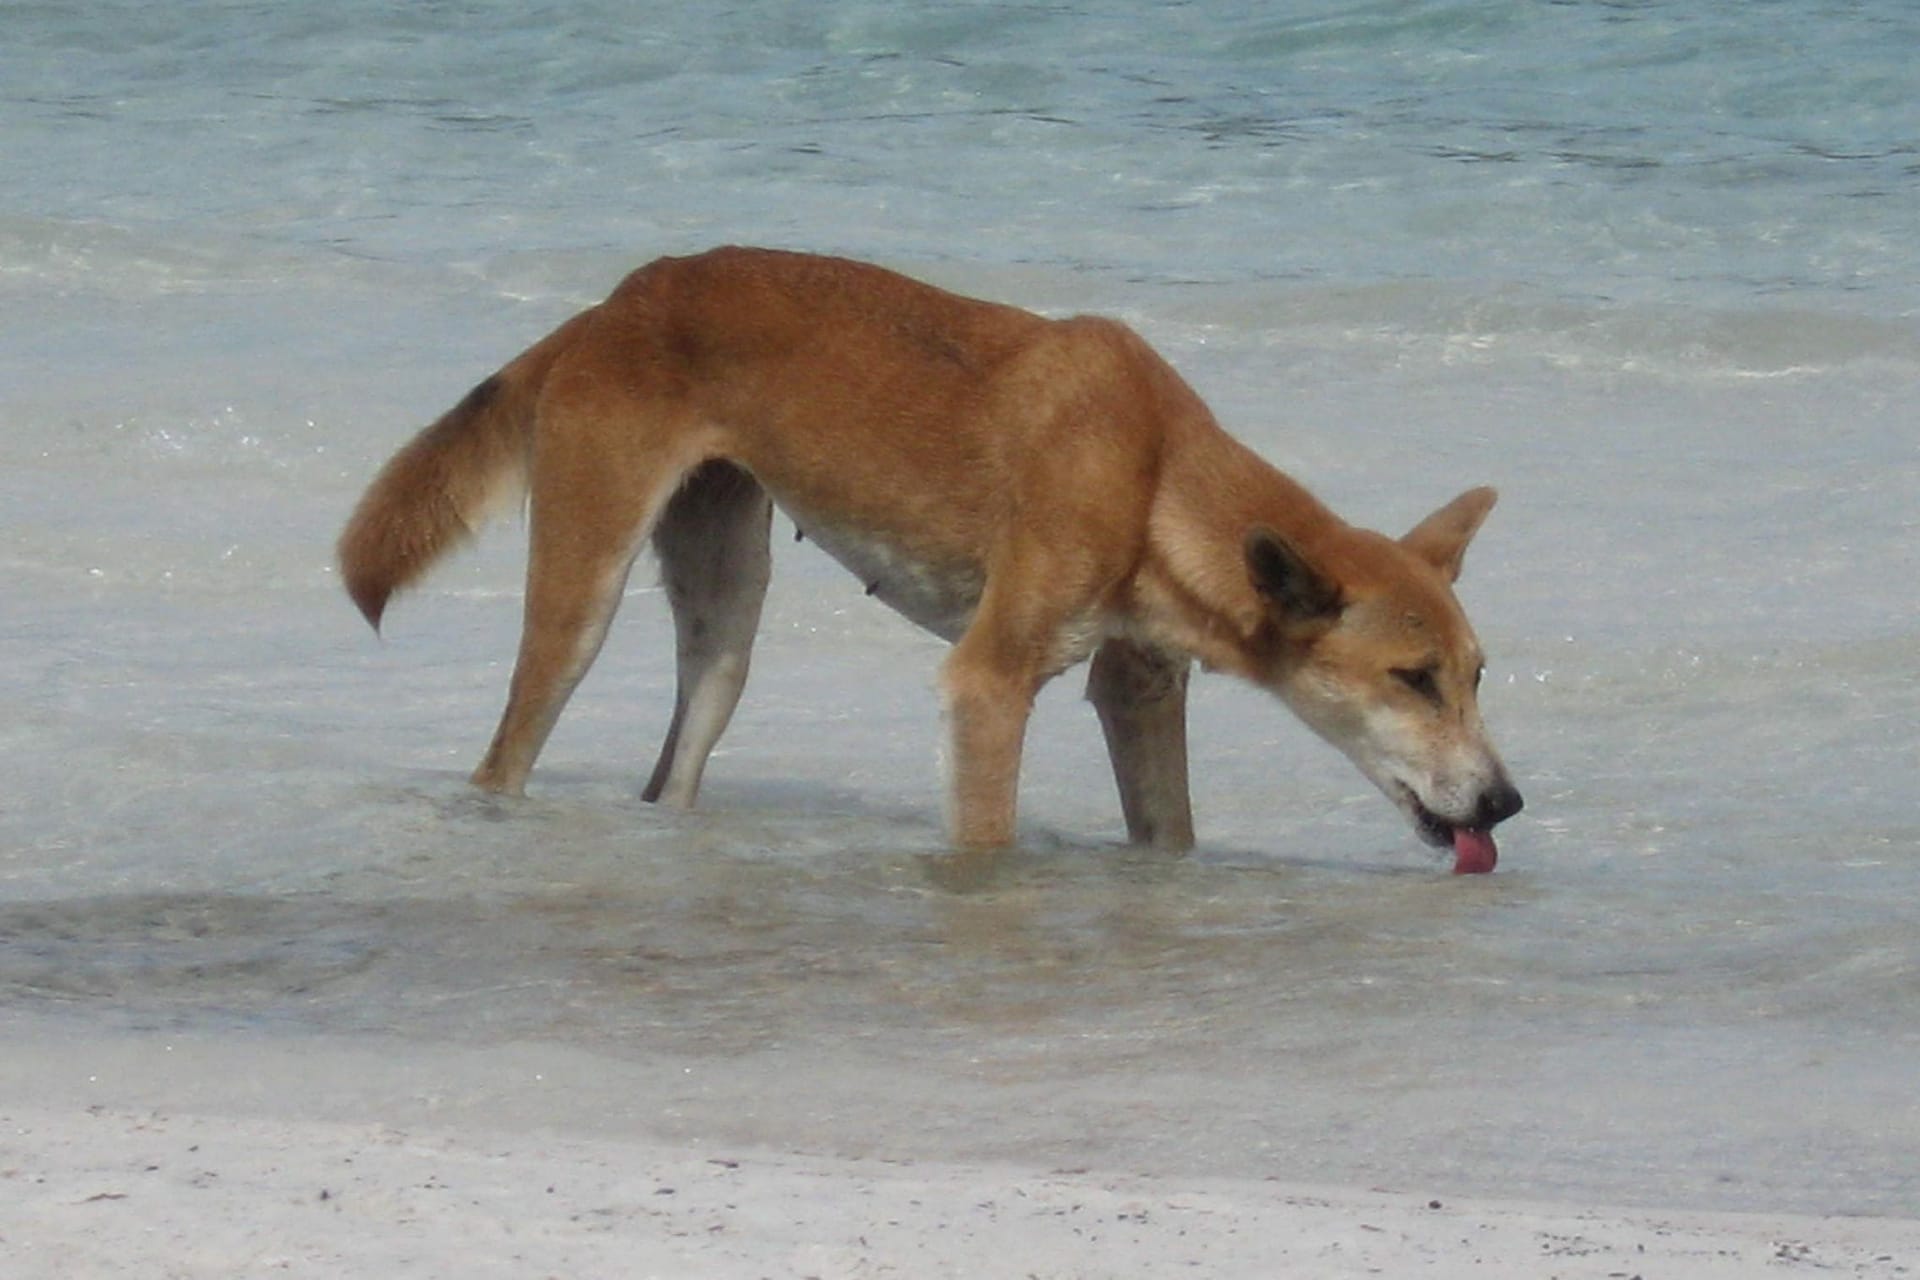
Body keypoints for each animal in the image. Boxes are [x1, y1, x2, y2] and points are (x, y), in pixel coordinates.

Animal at [337, 245, 1520, 871]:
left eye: (1476, 676)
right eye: (1413, 680)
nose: (1506, 803)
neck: (1152, 470)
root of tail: (619, 297)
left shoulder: (1139, 687)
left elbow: (1168, 832)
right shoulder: (989, 682)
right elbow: (987, 835)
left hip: (726, 624)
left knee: (672, 772)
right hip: (580, 601)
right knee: (505, 756)